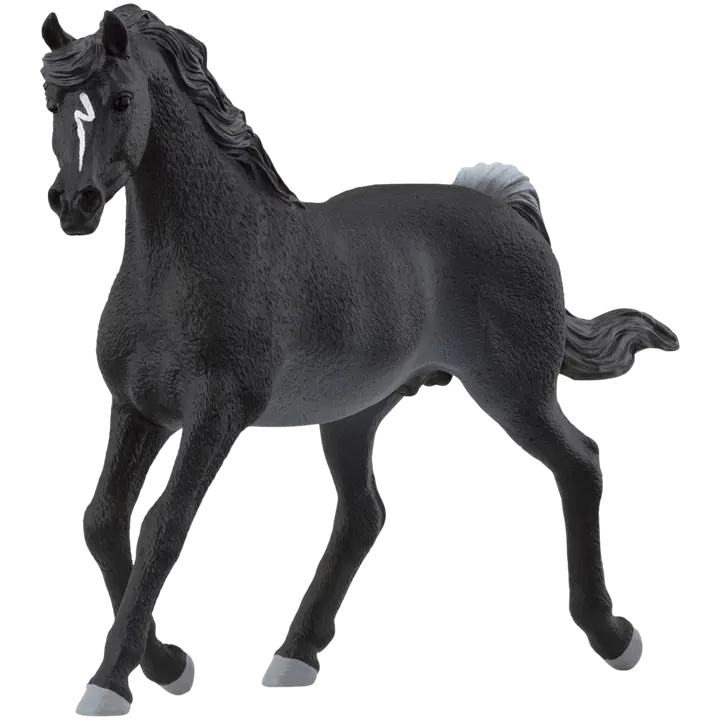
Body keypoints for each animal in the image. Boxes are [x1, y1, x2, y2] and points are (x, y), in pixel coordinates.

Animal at [40, 4, 680, 716]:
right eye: (53, 103)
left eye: (122, 100)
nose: (74, 204)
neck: (189, 261)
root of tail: (507, 210)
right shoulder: (138, 409)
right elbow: (102, 524)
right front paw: (171, 667)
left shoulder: (217, 413)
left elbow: (161, 530)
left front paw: (109, 687)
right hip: (353, 413)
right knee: (363, 516)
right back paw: (293, 657)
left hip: (515, 392)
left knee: (580, 462)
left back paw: (615, 639)